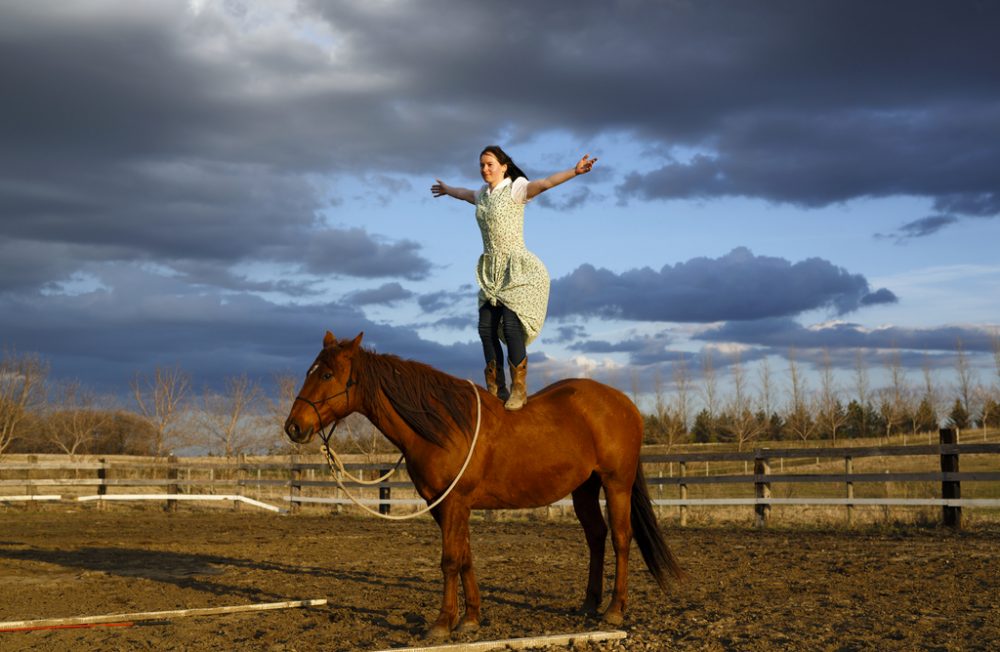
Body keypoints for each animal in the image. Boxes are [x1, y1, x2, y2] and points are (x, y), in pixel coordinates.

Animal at [286, 332, 684, 636]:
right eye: (310, 371)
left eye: (327, 375)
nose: (294, 426)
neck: (444, 425)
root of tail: (625, 404)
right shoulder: (446, 505)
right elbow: (465, 557)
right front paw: (471, 618)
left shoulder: (453, 502)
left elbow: (449, 560)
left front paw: (442, 623)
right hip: (584, 488)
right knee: (596, 537)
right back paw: (589, 603)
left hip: (616, 485)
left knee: (620, 538)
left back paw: (614, 609)